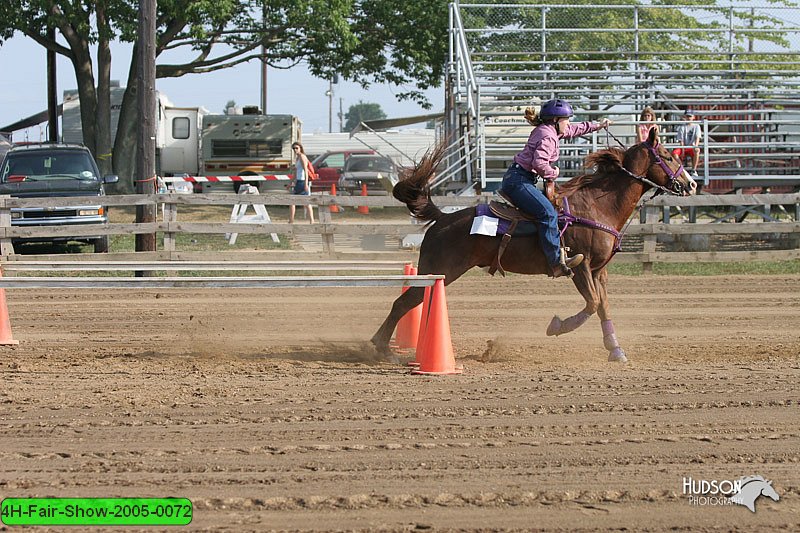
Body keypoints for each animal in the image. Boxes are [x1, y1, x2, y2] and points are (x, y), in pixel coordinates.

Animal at [372, 127, 696, 364]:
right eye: (667, 155)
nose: (692, 184)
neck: (598, 206)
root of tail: (442, 218)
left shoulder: (599, 271)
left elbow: (603, 307)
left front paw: (615, 350)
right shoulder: (580, 268)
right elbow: (591, 304)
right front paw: (557, 326)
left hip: (437, 274)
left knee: (410, 302)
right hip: (440, 270)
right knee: (403, 302)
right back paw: (382, 349)